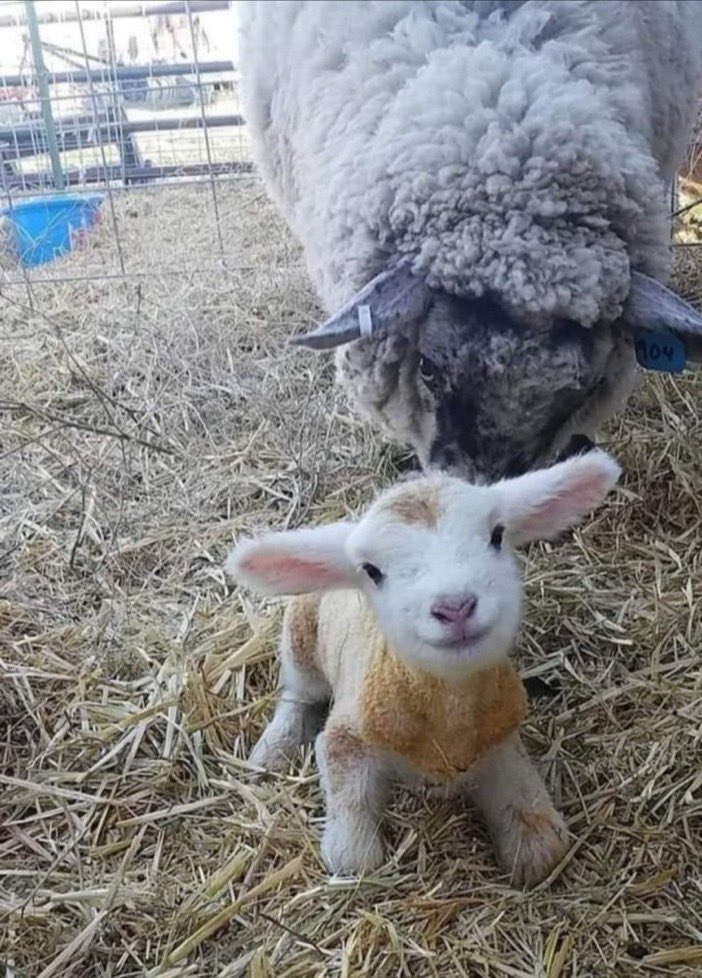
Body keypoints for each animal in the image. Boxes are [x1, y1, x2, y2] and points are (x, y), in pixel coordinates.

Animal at [227, 450, 620, 884]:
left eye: (497, 535)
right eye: (372, 570)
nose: (455, 607)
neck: (449, 719)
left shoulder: (499, 739)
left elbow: (541, 838)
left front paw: (531, 846)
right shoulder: (347, 737)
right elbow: (353, 854)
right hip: (301, 638)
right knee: (298, 694)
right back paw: (273, 749)